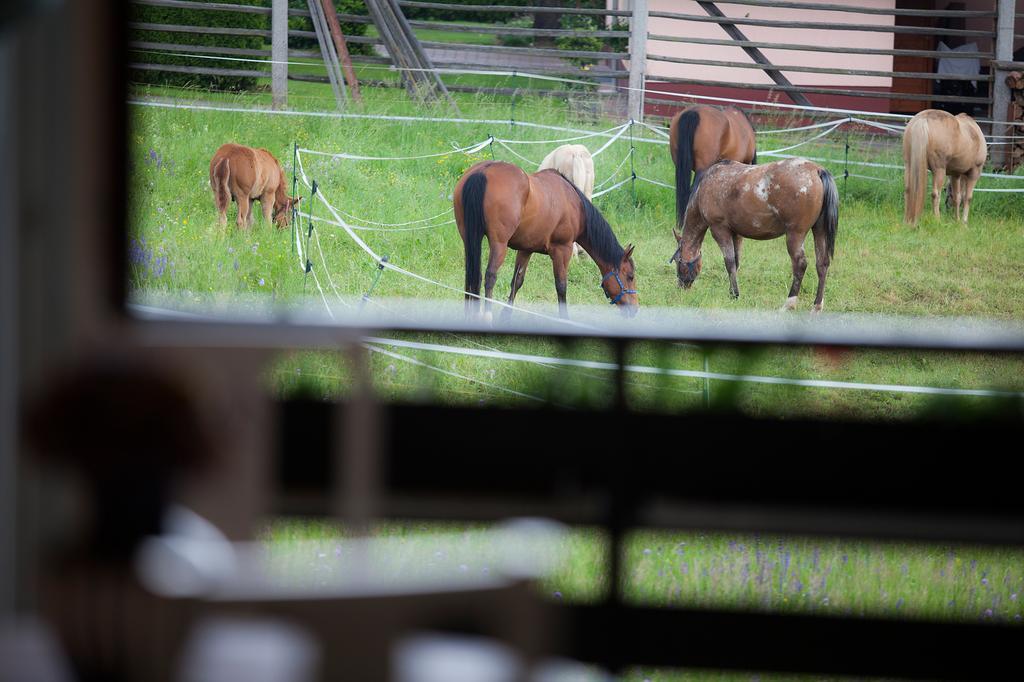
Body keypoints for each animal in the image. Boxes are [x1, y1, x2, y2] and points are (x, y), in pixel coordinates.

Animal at [454, 159, 634, 319]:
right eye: (630, 276)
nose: (634, 308)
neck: (575, 203)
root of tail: (483, 171)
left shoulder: (525, 249)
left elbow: (517, 281)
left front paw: (506, 315)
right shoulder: (562, 250)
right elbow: (561, 286)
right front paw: (564, 318)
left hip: (468, 239)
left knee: (472, 274)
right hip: (499, 244)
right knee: (490, 276)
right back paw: (486, 316)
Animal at [671, 157, 839, 311]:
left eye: (678, 262)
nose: (681, 286)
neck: (705, 187)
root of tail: (817, 170)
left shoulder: (719, 229)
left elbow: (729, 262)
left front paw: (734, 294)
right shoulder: (736, 234)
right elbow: (736, 262)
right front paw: (732, 293)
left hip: (795, 234)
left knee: (800, 264)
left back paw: (788, 304)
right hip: (819, 231)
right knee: (822, 264)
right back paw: (817, 306)